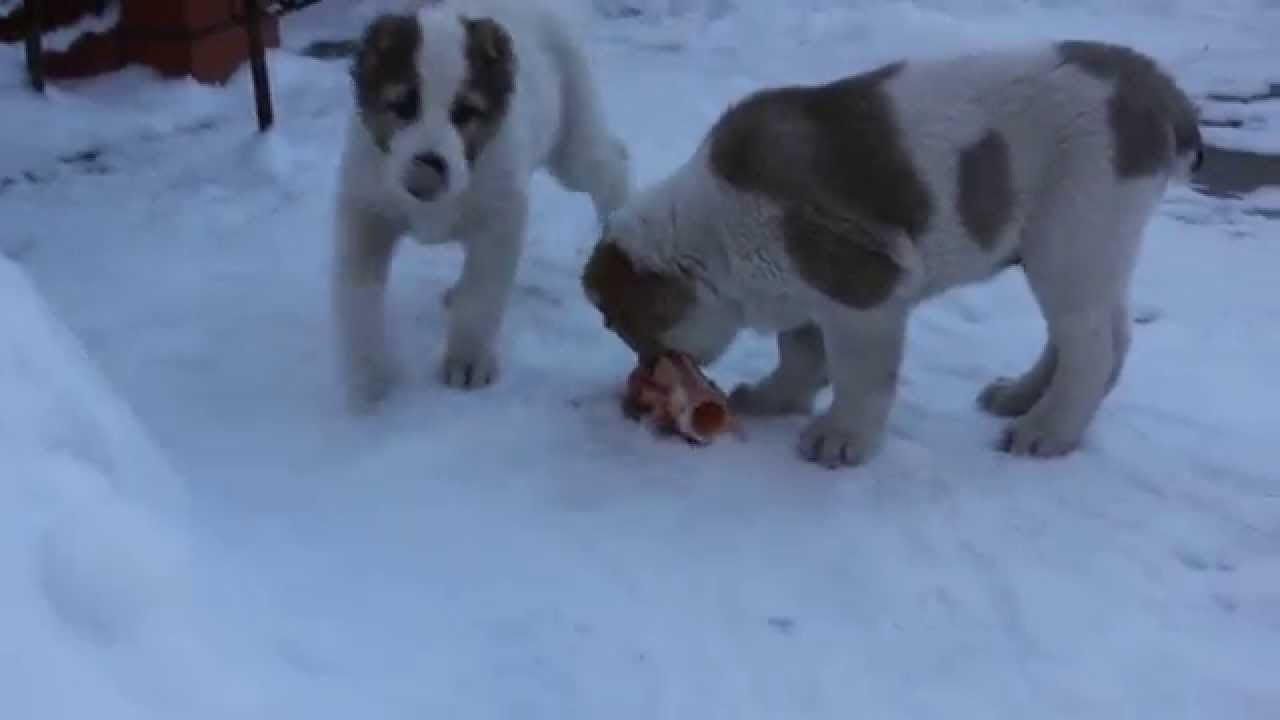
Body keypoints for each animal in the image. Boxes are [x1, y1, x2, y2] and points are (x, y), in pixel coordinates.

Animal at [330, 0, 629, 409]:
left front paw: (467, 359)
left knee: (611, 166)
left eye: (466, 112)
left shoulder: (500, 219)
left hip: (573, 141)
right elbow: (358, 299)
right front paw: (369, 375)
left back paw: (622, 222)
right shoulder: (365, 215)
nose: (428, 168)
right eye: (402, 106)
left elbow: (481, 292)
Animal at [586, 40, 1203, 466]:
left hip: (1070, 239)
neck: (710, 232)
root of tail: (1155, 85)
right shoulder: (804, 287)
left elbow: (861, 374)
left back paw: (1047, 430)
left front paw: (841, 437)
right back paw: (1020, 397)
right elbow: (801, 350)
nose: (639, 377)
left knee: (1092, 347)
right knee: (1099, 335)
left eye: (620, 325)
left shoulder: (866, 287)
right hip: (1079, 253)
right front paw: (777, 397)